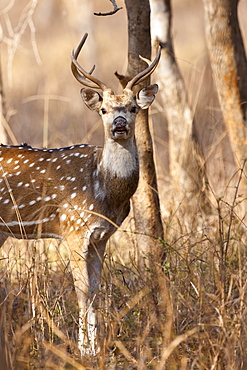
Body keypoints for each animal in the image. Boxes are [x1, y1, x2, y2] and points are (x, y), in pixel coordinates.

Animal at [0, 34, 160, 356]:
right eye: (104, 110)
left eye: (133, 108)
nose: (119, 124)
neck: (105, 194)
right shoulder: (73, 229)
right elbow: (82, 290)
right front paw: (84, 350)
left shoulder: (101, 237)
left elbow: (96, 290)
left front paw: (96, 348)